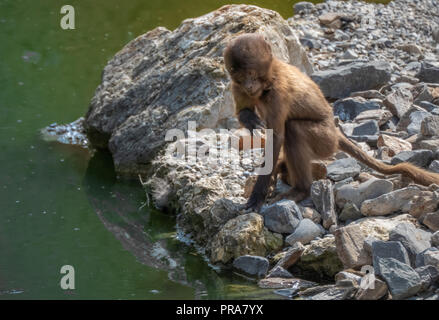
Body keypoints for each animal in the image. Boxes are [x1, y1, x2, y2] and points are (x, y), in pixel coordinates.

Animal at [225, 33, 439, 212]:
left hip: (325, 141)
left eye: (251, 74)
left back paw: (301, 189)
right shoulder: (236, 87)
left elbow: (276, 138)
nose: (249, 86)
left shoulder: (279, 92)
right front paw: (249, 119)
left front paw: (257, 197)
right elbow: (243, 113)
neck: (269, 79)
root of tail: (335, 132)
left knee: (293, 129)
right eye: (241, 77)